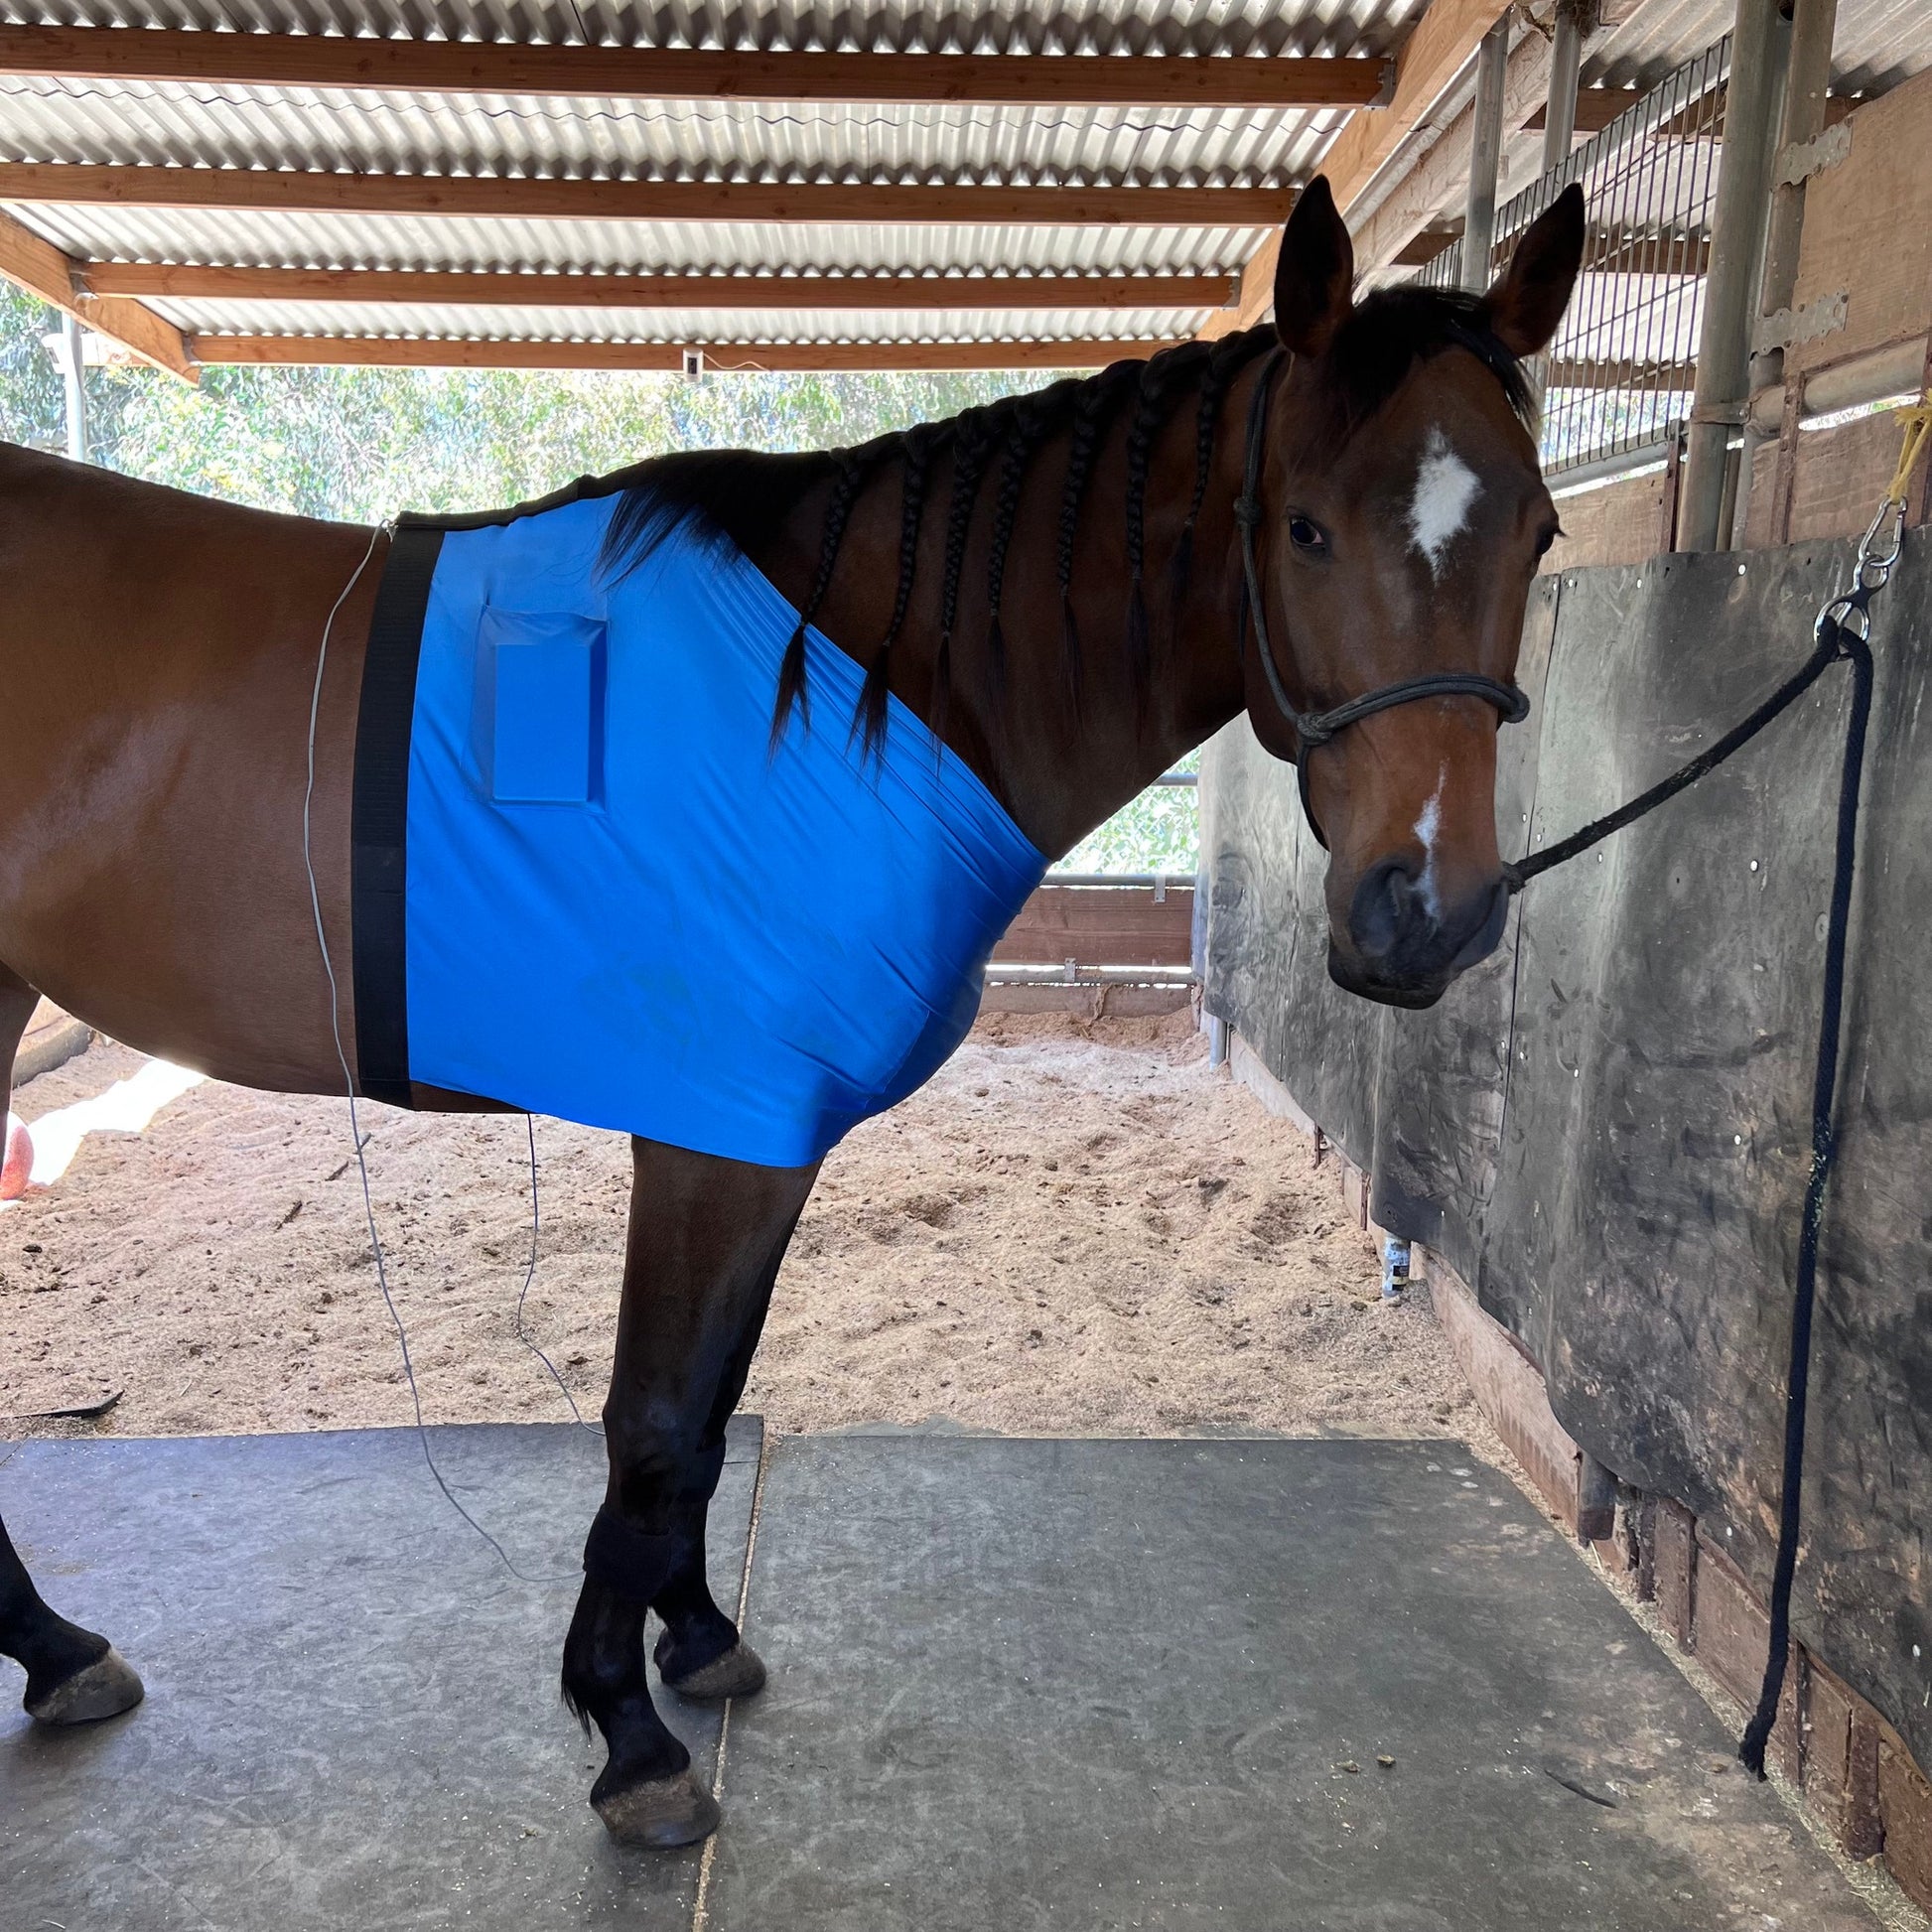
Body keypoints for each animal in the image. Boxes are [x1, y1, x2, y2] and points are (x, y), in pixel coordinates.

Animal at [0, 176, 1584, 1846]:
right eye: (1303, 525)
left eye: (1538, 527)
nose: (1425, 911)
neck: (848, 686)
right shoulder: (711, 1137)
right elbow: (649, 1422)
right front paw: (627, 1735)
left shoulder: (768, 1147)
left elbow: (708, 1413)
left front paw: (692, 1638)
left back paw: (58, 1649)